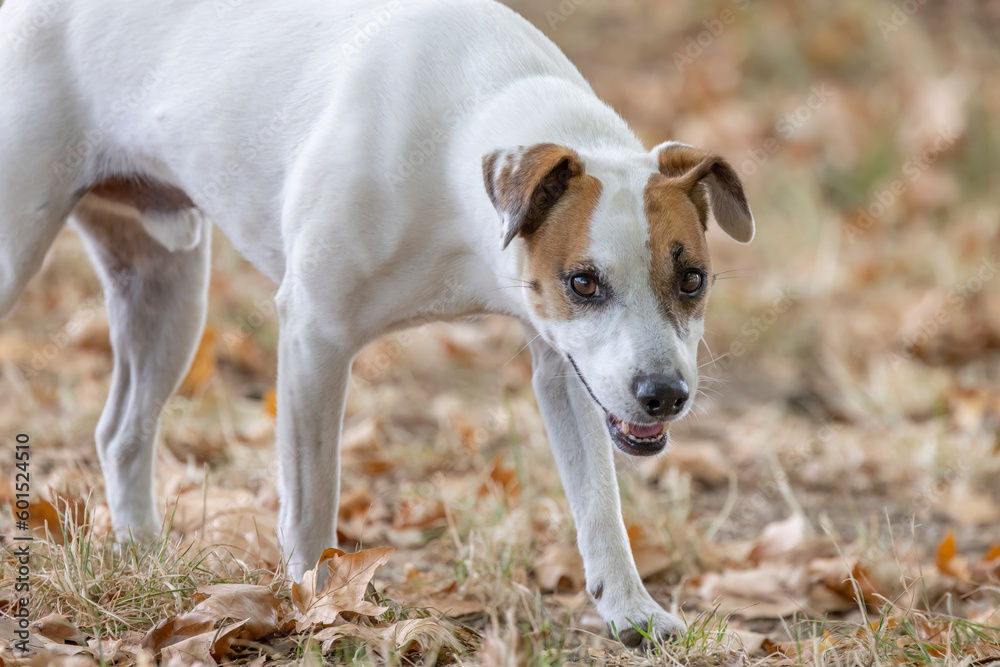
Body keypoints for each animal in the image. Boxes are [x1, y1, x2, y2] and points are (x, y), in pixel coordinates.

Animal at [0, 0, 752, 648]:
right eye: (584, 282)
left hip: (168, 294)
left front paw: (630, 609)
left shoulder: (564, 369)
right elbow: (312, 498)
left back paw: (140, 553)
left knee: (122, 431)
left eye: (692, 279)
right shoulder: (315, 336)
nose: (665, 394)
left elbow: (599, 502)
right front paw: (317, 606)